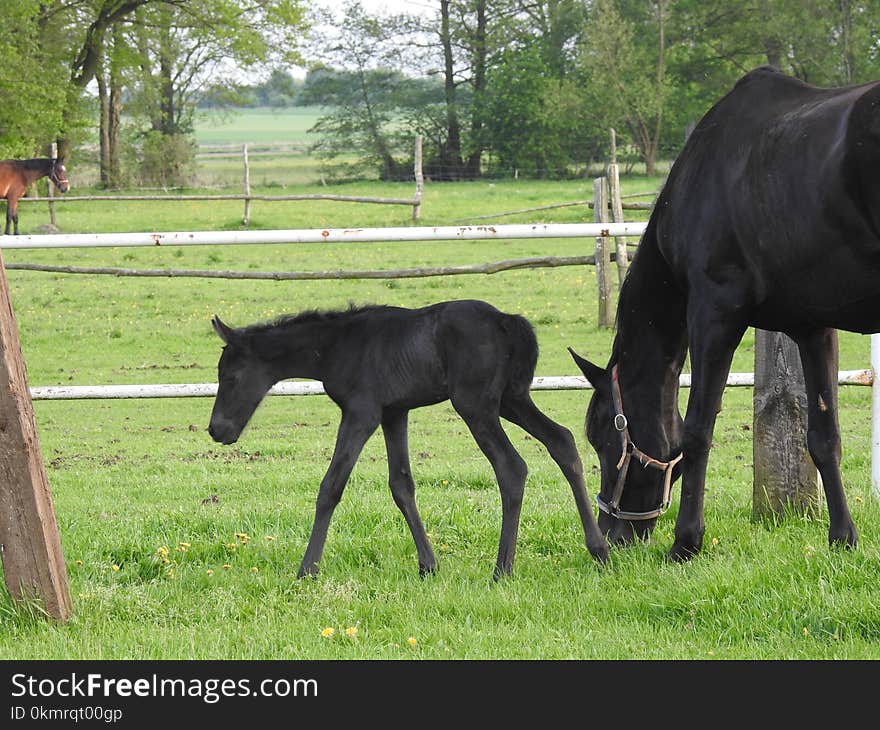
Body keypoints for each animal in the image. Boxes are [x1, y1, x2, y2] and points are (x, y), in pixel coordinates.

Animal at [208, 298, 604, 576]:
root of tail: (507, 321)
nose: (217, 430)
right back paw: (599, 550)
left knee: (511, 466)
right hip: (512, 399)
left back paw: (502, 569)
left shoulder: (361, 413)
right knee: (562, 440)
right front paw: (428, 566)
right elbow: (401, 485)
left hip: (476, 406)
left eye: (230, 377)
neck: (338, 345)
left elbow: (331, 486)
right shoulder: (394, 413)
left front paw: (307, 569)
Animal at [572, 67, 872, 556]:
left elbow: (697, 432)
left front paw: (686, 543)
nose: (612, 533)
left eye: (600, 434)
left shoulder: (715, 316)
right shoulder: (813, 329)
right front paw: (843, 537)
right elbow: (824, 437)